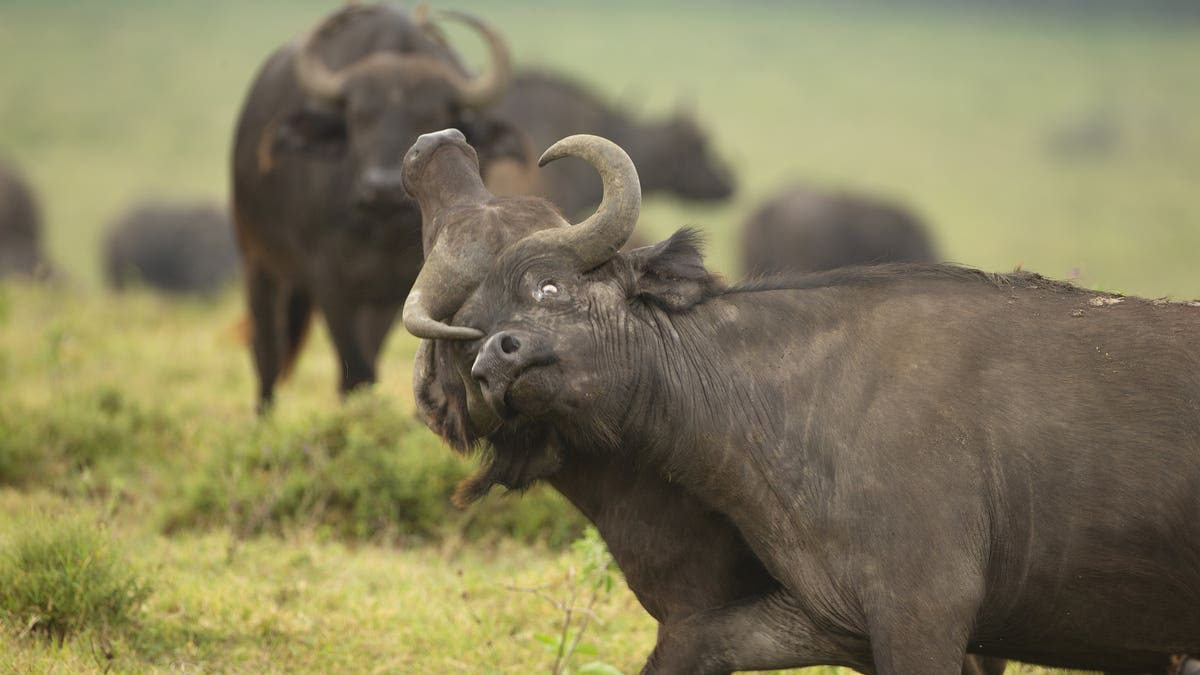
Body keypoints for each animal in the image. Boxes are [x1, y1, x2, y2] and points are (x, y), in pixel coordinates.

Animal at [229, 3, 520, 410]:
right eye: (359, 118)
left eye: (427, 117)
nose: (381, 190)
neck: (381, 232)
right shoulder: (328, 277)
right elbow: (355, 369)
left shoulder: (402, 288)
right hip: (257, 257)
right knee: (267, 350)